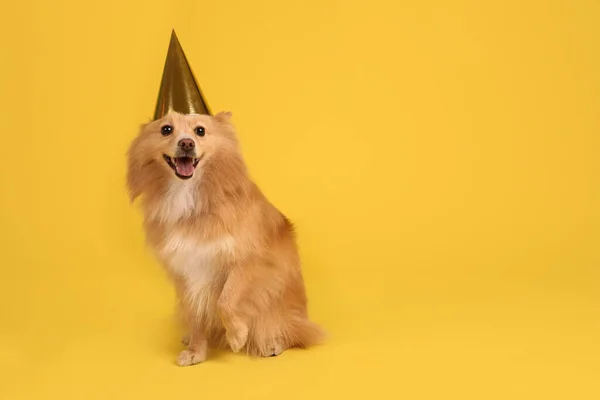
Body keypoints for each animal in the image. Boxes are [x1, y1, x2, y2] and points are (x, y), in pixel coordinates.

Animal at [126, 110, 324, 366]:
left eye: (200, 131)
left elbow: (226, 299)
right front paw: (196, 351)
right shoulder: (185, 271)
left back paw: (272, 343)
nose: (187, 143)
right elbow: (196, 313)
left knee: (294, 332)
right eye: (166, 130)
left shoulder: (249, 260)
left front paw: (237, 335)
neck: (188, 196)